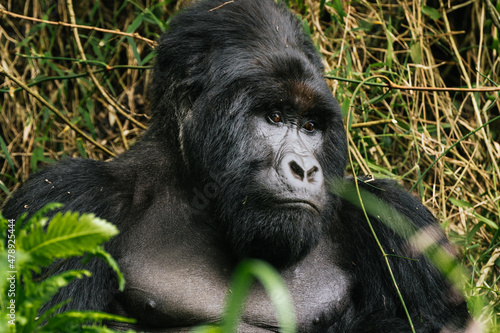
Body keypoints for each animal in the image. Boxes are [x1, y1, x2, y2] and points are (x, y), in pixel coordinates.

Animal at [2, 0, 472, 330]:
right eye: (274, 117)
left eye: (311, 126)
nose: (304, 169)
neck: (197, 193)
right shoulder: (70, 197)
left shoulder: (394, 216)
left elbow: (437, 322)